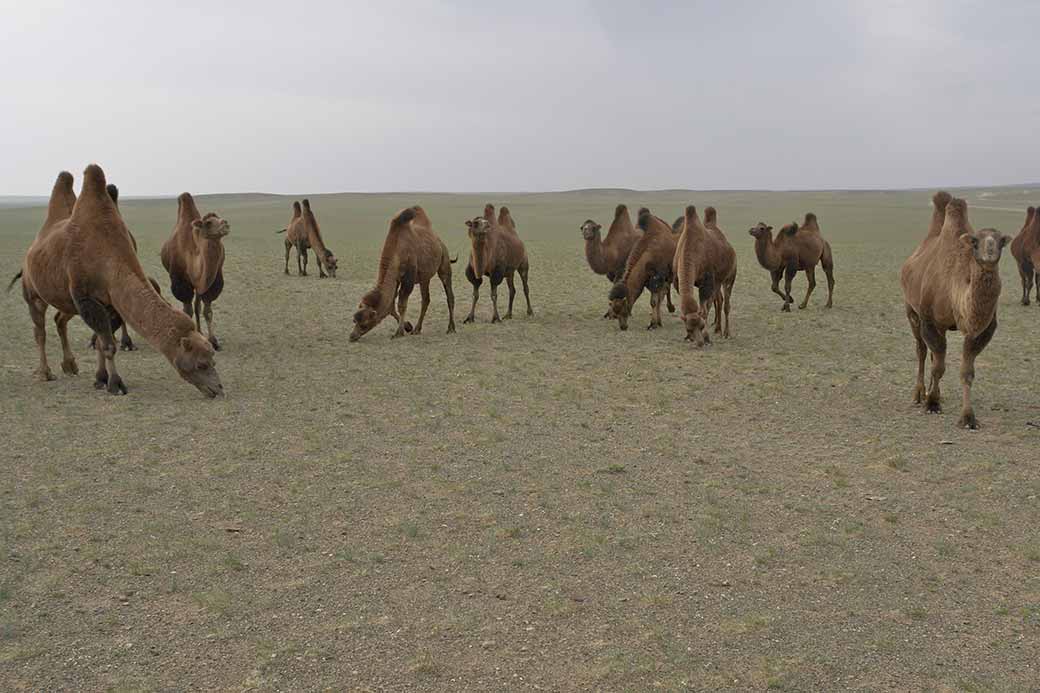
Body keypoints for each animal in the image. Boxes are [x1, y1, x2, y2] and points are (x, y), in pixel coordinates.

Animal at [160, 191, 229, 347]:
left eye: (219, 217)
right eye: (209, 222)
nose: (226, 224)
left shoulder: (212, 281)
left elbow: (207, 311)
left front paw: (213, 341)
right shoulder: (181, 282)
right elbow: (187, 311)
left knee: (197, 305)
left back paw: (200, 332)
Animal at [349, 204, 455, 339]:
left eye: (365, 324)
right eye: (354, 320)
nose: (352, 336)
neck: (397, 251)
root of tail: (439, 240)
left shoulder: (408, 279)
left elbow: (401, 305)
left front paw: (398, 332)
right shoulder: (396, 279)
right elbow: (390, 307)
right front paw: (408, 326)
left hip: (444, 260)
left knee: (448, 294)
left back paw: (451, 328)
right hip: (424, 277)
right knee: (426, 299)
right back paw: (417, 329)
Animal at [673, 204, 740, 345]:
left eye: (701, 326)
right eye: (688, 329)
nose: (699, 343)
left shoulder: (706, 282)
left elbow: (704, 310)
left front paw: (707, 337)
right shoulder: (678, 281)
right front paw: (688, 337)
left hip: (730, 277)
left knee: (726, 304)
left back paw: (726, 333)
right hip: (718, 281)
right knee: (719, 300)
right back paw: (718, 329)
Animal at [898, 192, 1010, 426]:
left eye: (1001, 241)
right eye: (975, 241)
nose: (990, 249)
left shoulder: (980, 329)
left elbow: (967, 371)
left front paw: (968, 417)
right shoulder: (929, 319)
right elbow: (938, 366)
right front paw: (932, 404)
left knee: (933, 354)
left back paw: (936, 393)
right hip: (911, 310)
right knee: (922, 351)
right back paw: (919, 394)